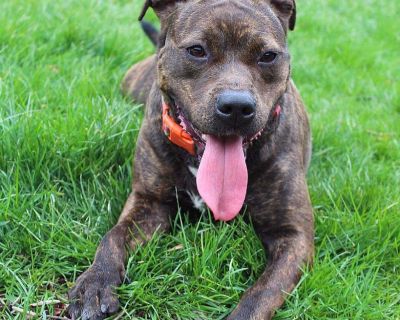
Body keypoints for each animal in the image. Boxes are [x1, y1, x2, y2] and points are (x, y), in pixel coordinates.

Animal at [67, 0, 314, 320]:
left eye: (268, 56)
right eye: (197, 50)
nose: (236, 107)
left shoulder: (294, 236)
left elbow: (262, 293)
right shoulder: (149, 202)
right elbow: (113, 236)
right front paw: (95, 282)